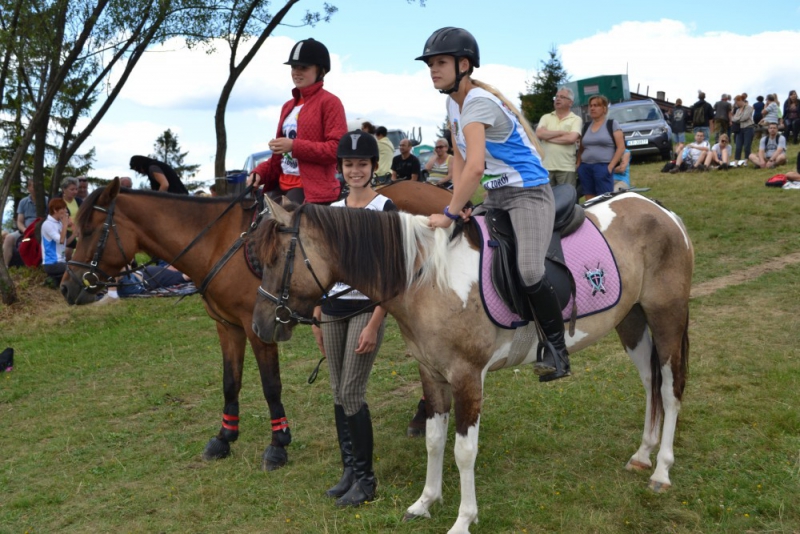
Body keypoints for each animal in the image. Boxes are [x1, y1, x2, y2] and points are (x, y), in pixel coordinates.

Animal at [59, 178, 454, 472]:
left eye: (90, 230)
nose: (67, 286)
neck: (217, 244)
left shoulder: (259, 328)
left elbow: (270, 387)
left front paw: (278, 444)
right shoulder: (227, 326)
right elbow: (230, 382)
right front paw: (223, 437)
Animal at [252, 195, 692, 532]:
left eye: (276, 259)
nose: (259, 325)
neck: (427, 279)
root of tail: (662, 211)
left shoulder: (467, 378)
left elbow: (464, 450)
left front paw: (464, 519)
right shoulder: (431, 374)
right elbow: (434, 439)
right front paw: (425, 502)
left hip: (666, 318)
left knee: (670, 390)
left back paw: (661, 471)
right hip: (632, 322)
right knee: (649, 384)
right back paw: (642, 454)